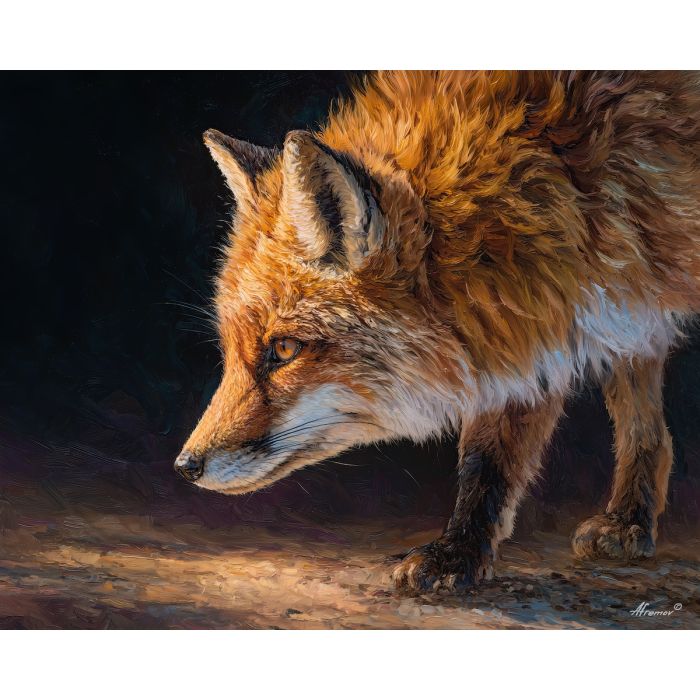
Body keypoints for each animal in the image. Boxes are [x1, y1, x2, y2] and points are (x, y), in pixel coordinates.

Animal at [175, 71, 700, 592]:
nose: (185, 466)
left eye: (284, 349)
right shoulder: (545, 318)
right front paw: (461, 551)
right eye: (230, 350)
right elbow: (490, 461)